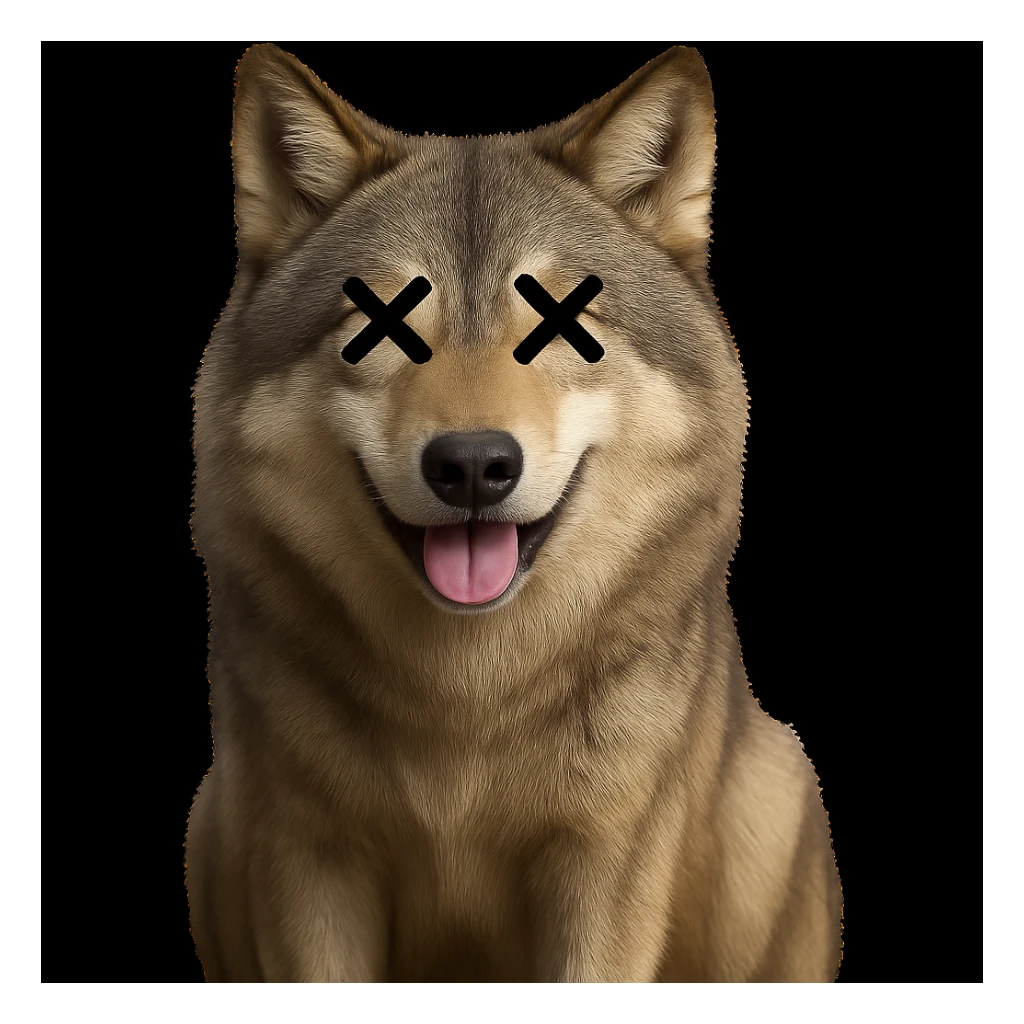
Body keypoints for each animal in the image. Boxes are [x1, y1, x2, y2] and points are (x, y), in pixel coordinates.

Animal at [186, 43, 843, 982]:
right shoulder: (309, 861)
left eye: (565, 320)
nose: (473, 465)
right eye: (377, 323)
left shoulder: (602, 865)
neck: (467, 700)